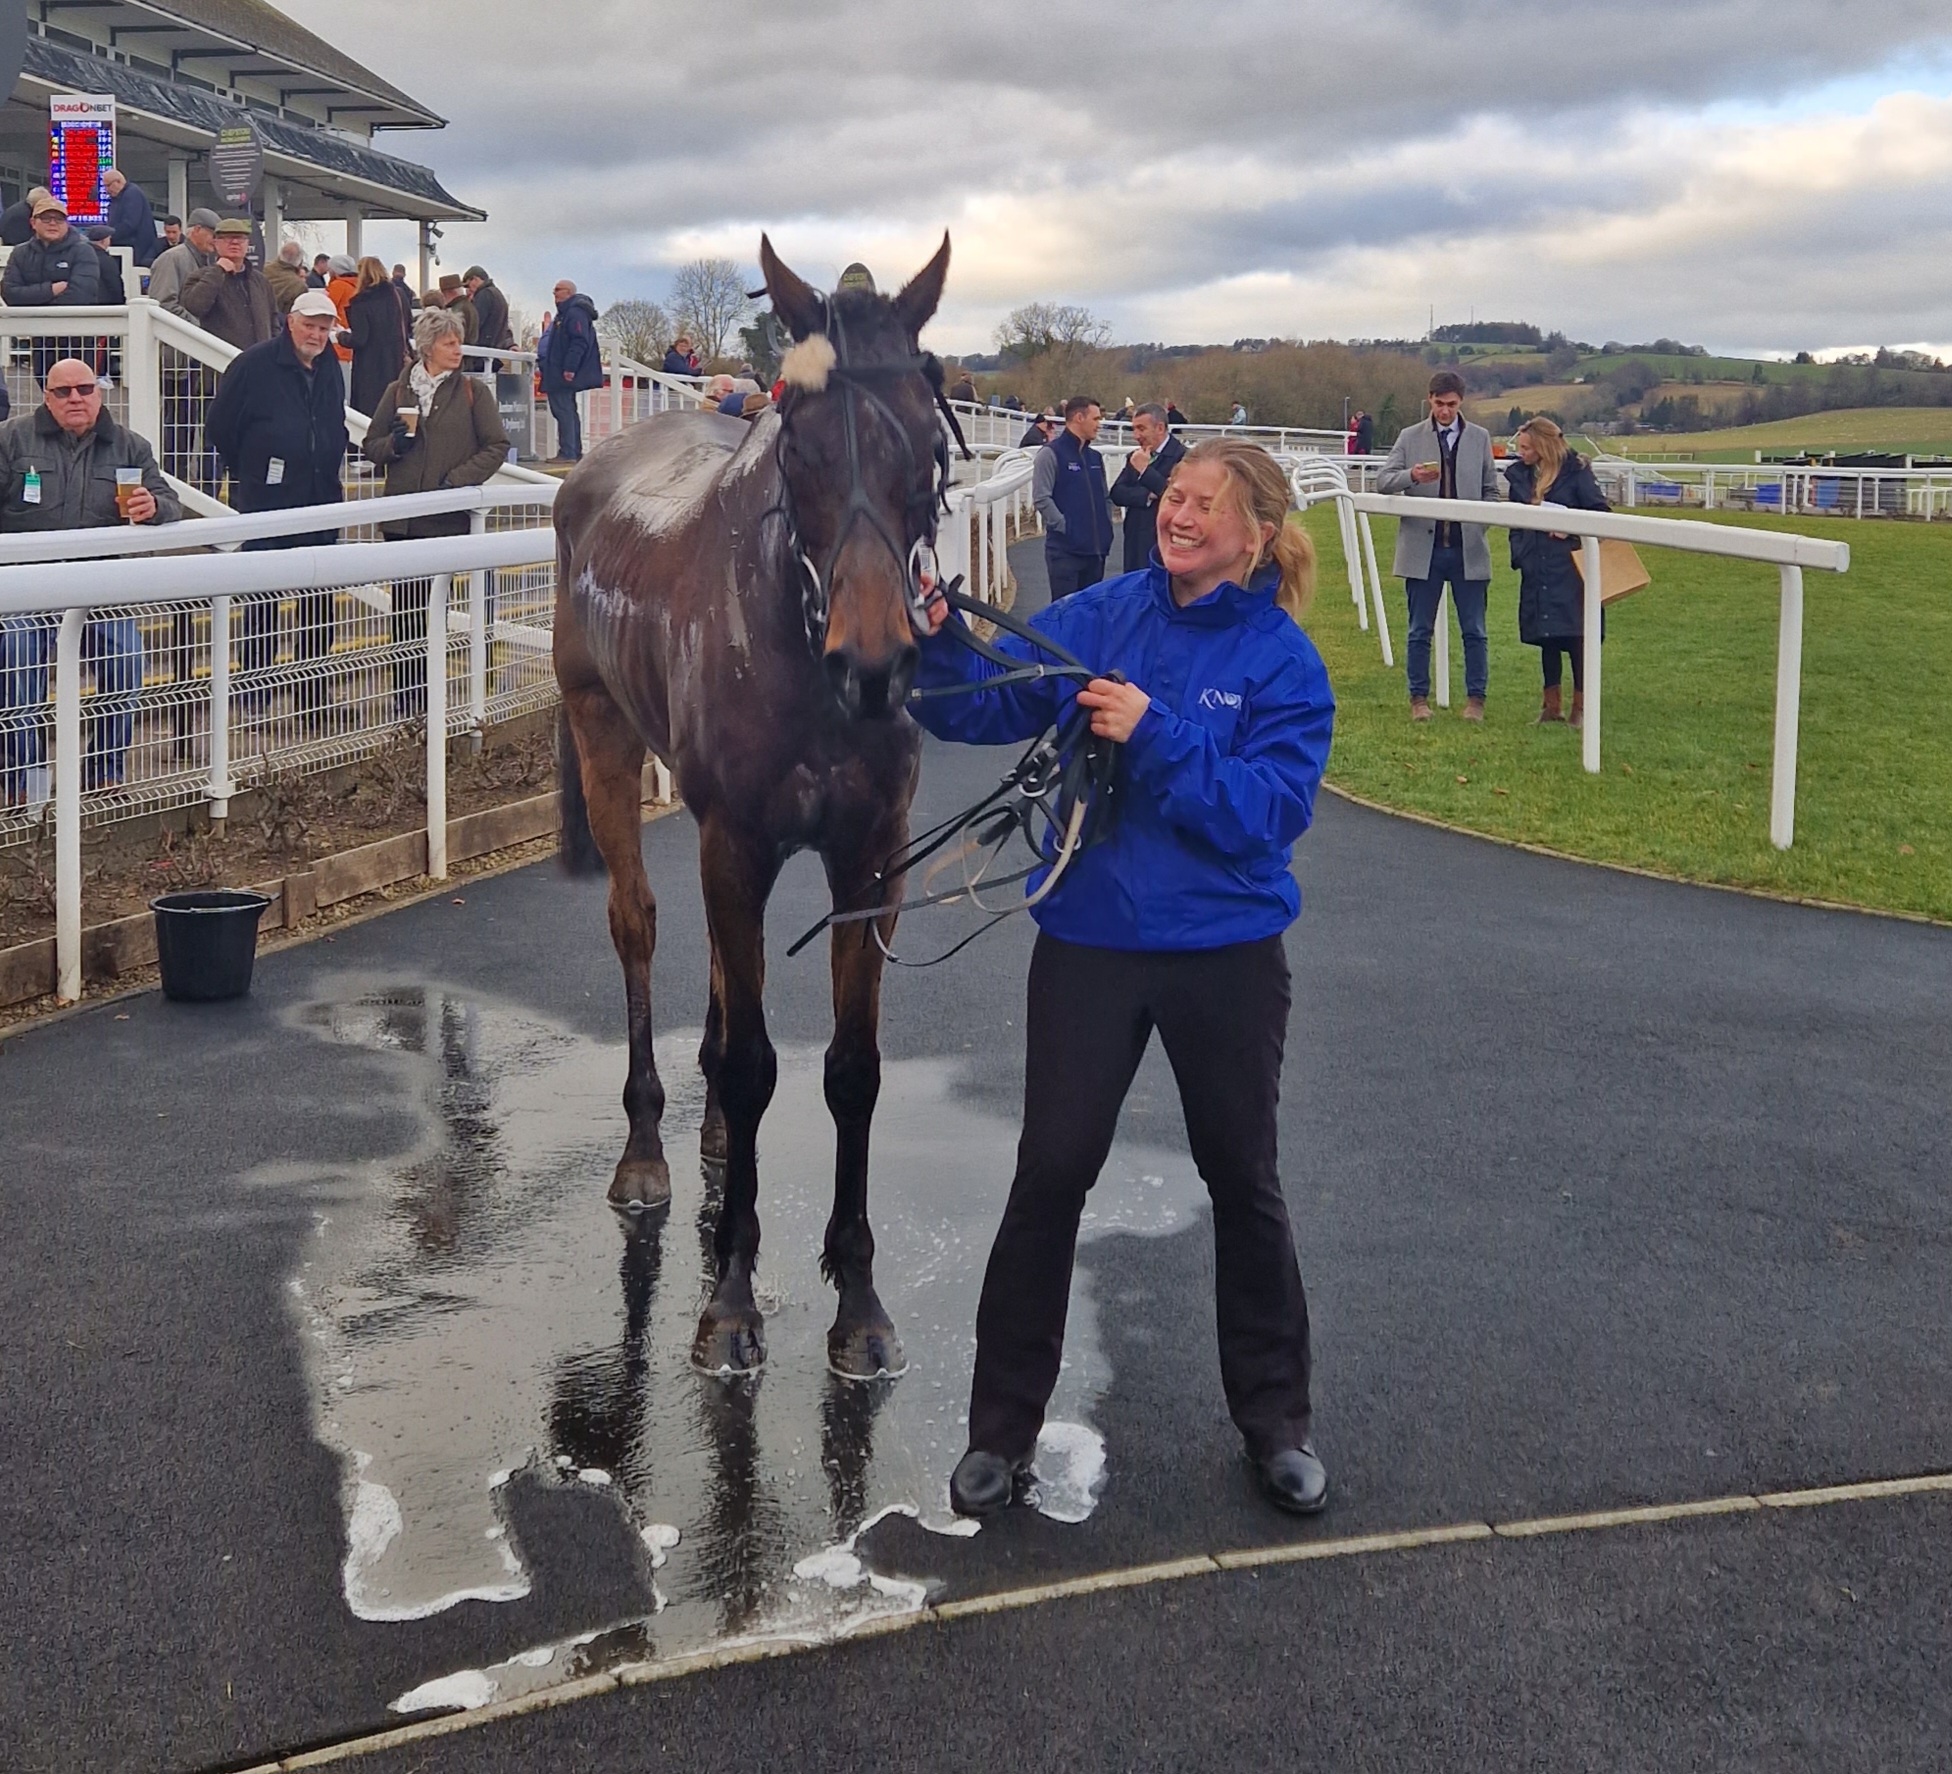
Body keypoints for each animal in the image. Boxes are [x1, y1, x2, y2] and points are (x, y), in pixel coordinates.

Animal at [550, 235, 952, 1373]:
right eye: (800, 451)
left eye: (927, 448)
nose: (876, 664)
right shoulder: (736, 841)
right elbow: (753, 1065)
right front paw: (729, 1295)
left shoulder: (871, 850)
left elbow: (849, 1068)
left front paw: (858, 1299)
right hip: (601, 731)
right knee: (637, 926)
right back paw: (646, 1149)